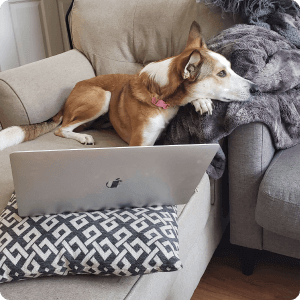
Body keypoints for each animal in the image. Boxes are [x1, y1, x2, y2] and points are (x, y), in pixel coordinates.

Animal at [0, 21, 258, 150]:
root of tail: (69, 96)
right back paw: (82, 138)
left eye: (230, 68)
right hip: (101, 97)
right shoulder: (139, 144)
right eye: (221, 73)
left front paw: (201, 100)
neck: (159, 94)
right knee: (61, 129)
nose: (256, 89)